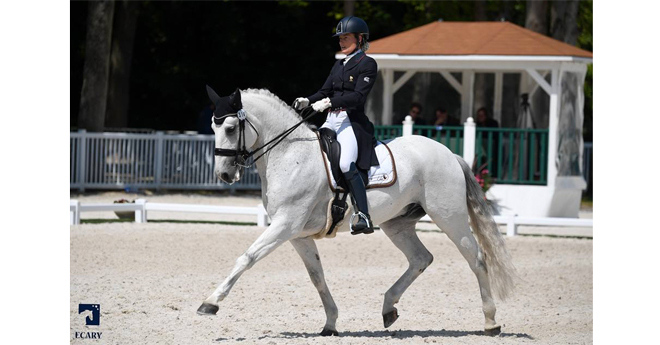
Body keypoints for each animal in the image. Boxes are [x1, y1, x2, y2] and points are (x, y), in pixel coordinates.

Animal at [199, 87, 520, 334]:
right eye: (213, 128)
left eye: (230, 128)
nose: (224, 175)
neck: (290, 154)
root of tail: (449, 153)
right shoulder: (297, 234)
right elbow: (317, 276)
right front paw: (330, 323)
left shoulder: (285, 224)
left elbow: (247, 257)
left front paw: (211, 302)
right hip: (397, 224)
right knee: (421, 258)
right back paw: (389, 308)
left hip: (449, 216)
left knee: (476, 258)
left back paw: (490, 322)